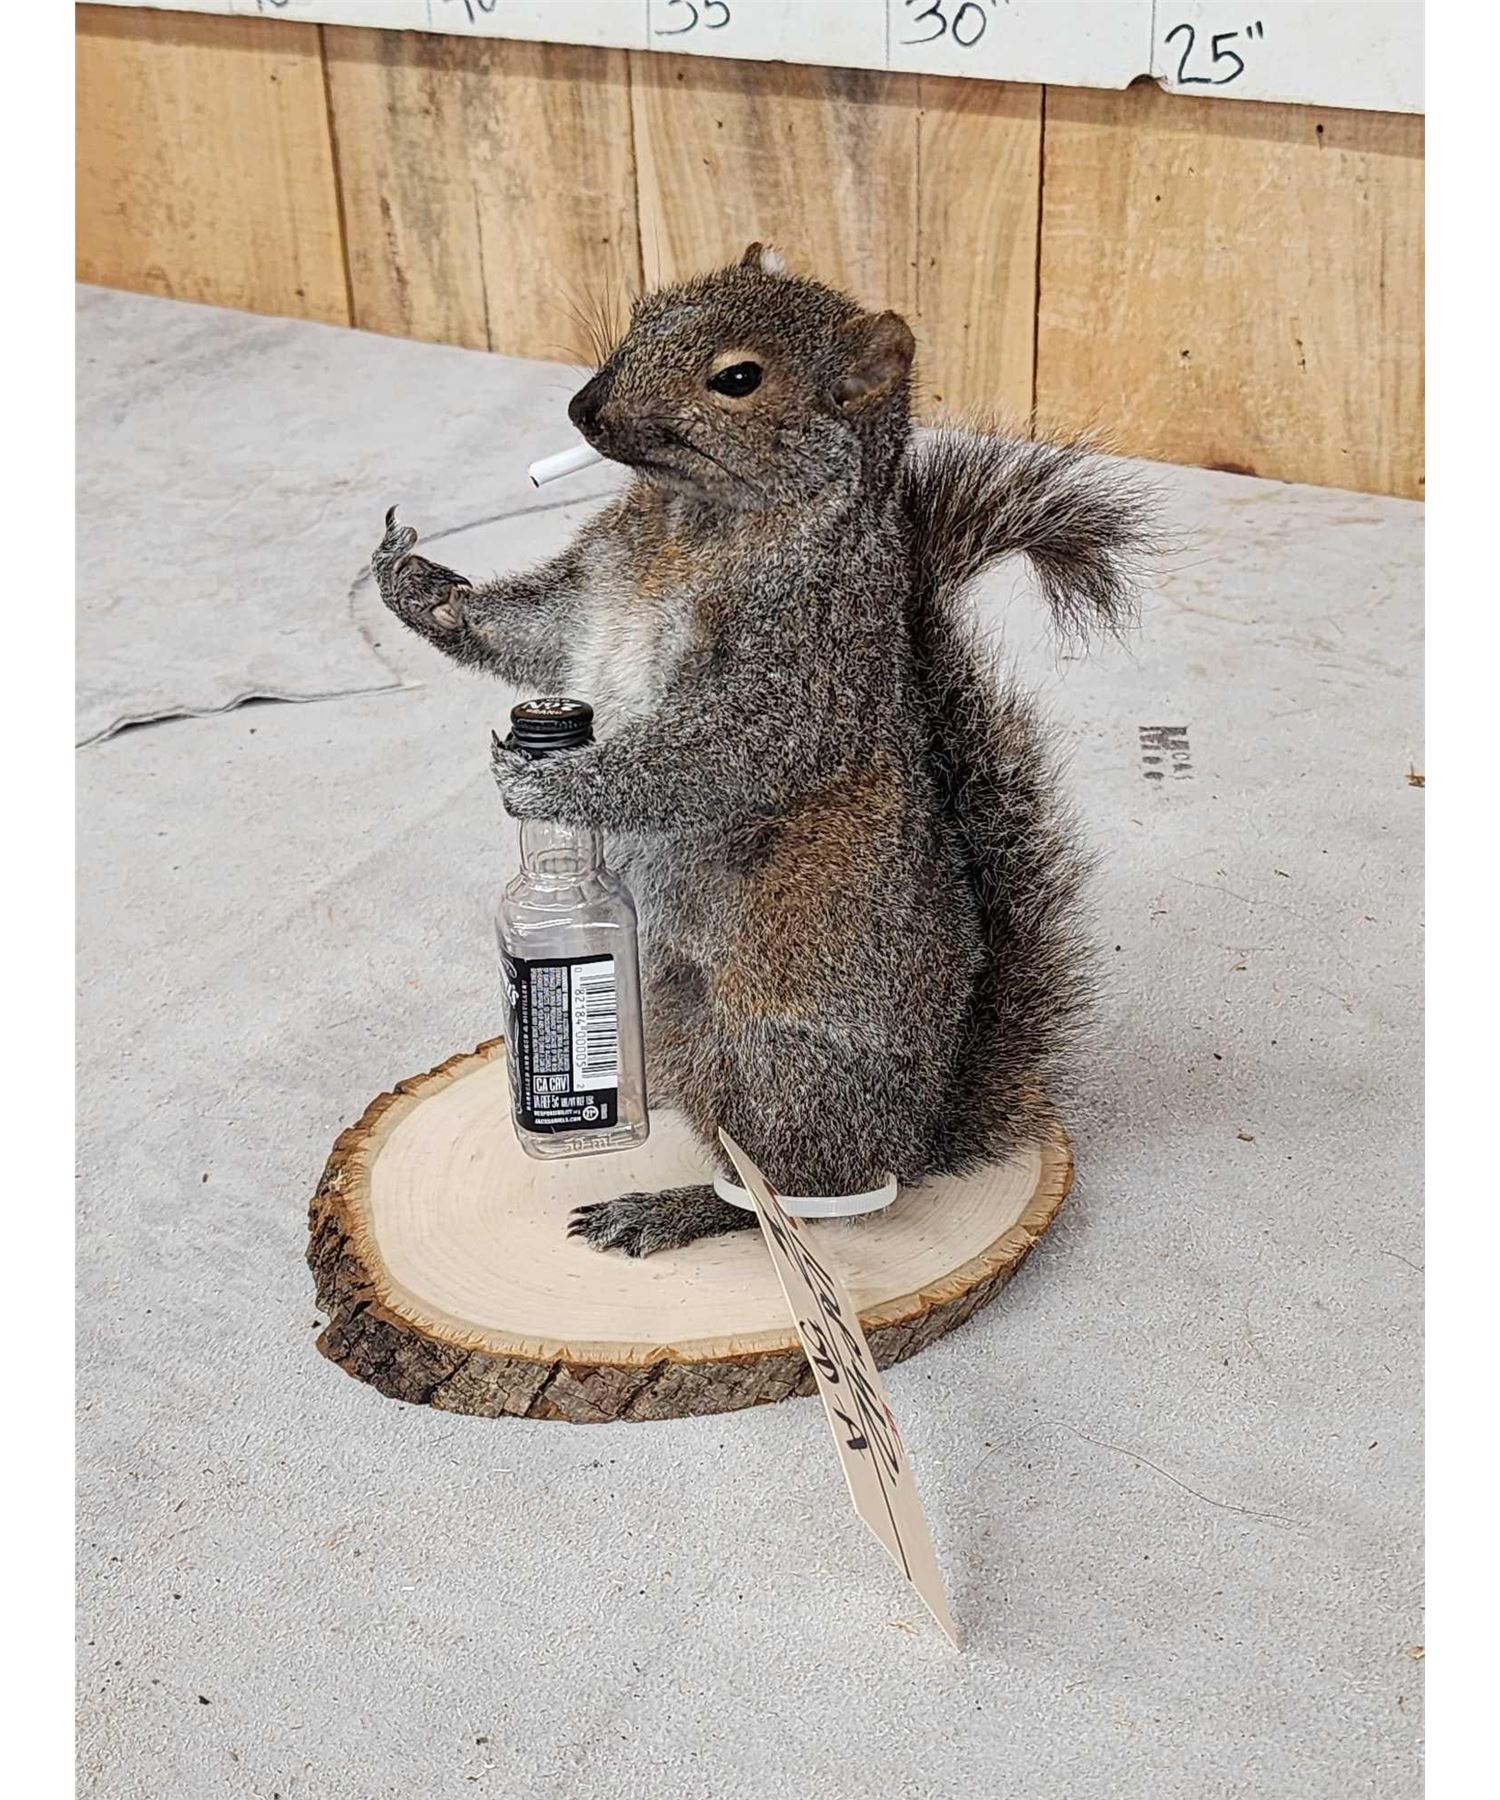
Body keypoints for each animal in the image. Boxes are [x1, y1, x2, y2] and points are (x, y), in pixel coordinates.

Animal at [372, 243, 1153, 1257]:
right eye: (646, 311)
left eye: (739, 380)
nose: (584, 409)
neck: (695, 520)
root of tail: (916, 1136)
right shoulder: (588, 594)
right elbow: (530, 635)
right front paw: (421, 589)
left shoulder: (801, 666)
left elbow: (723, 755)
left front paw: (557, 781)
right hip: (663, 1011)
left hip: (777, 1060)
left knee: (785, 1196)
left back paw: (671, 1209)